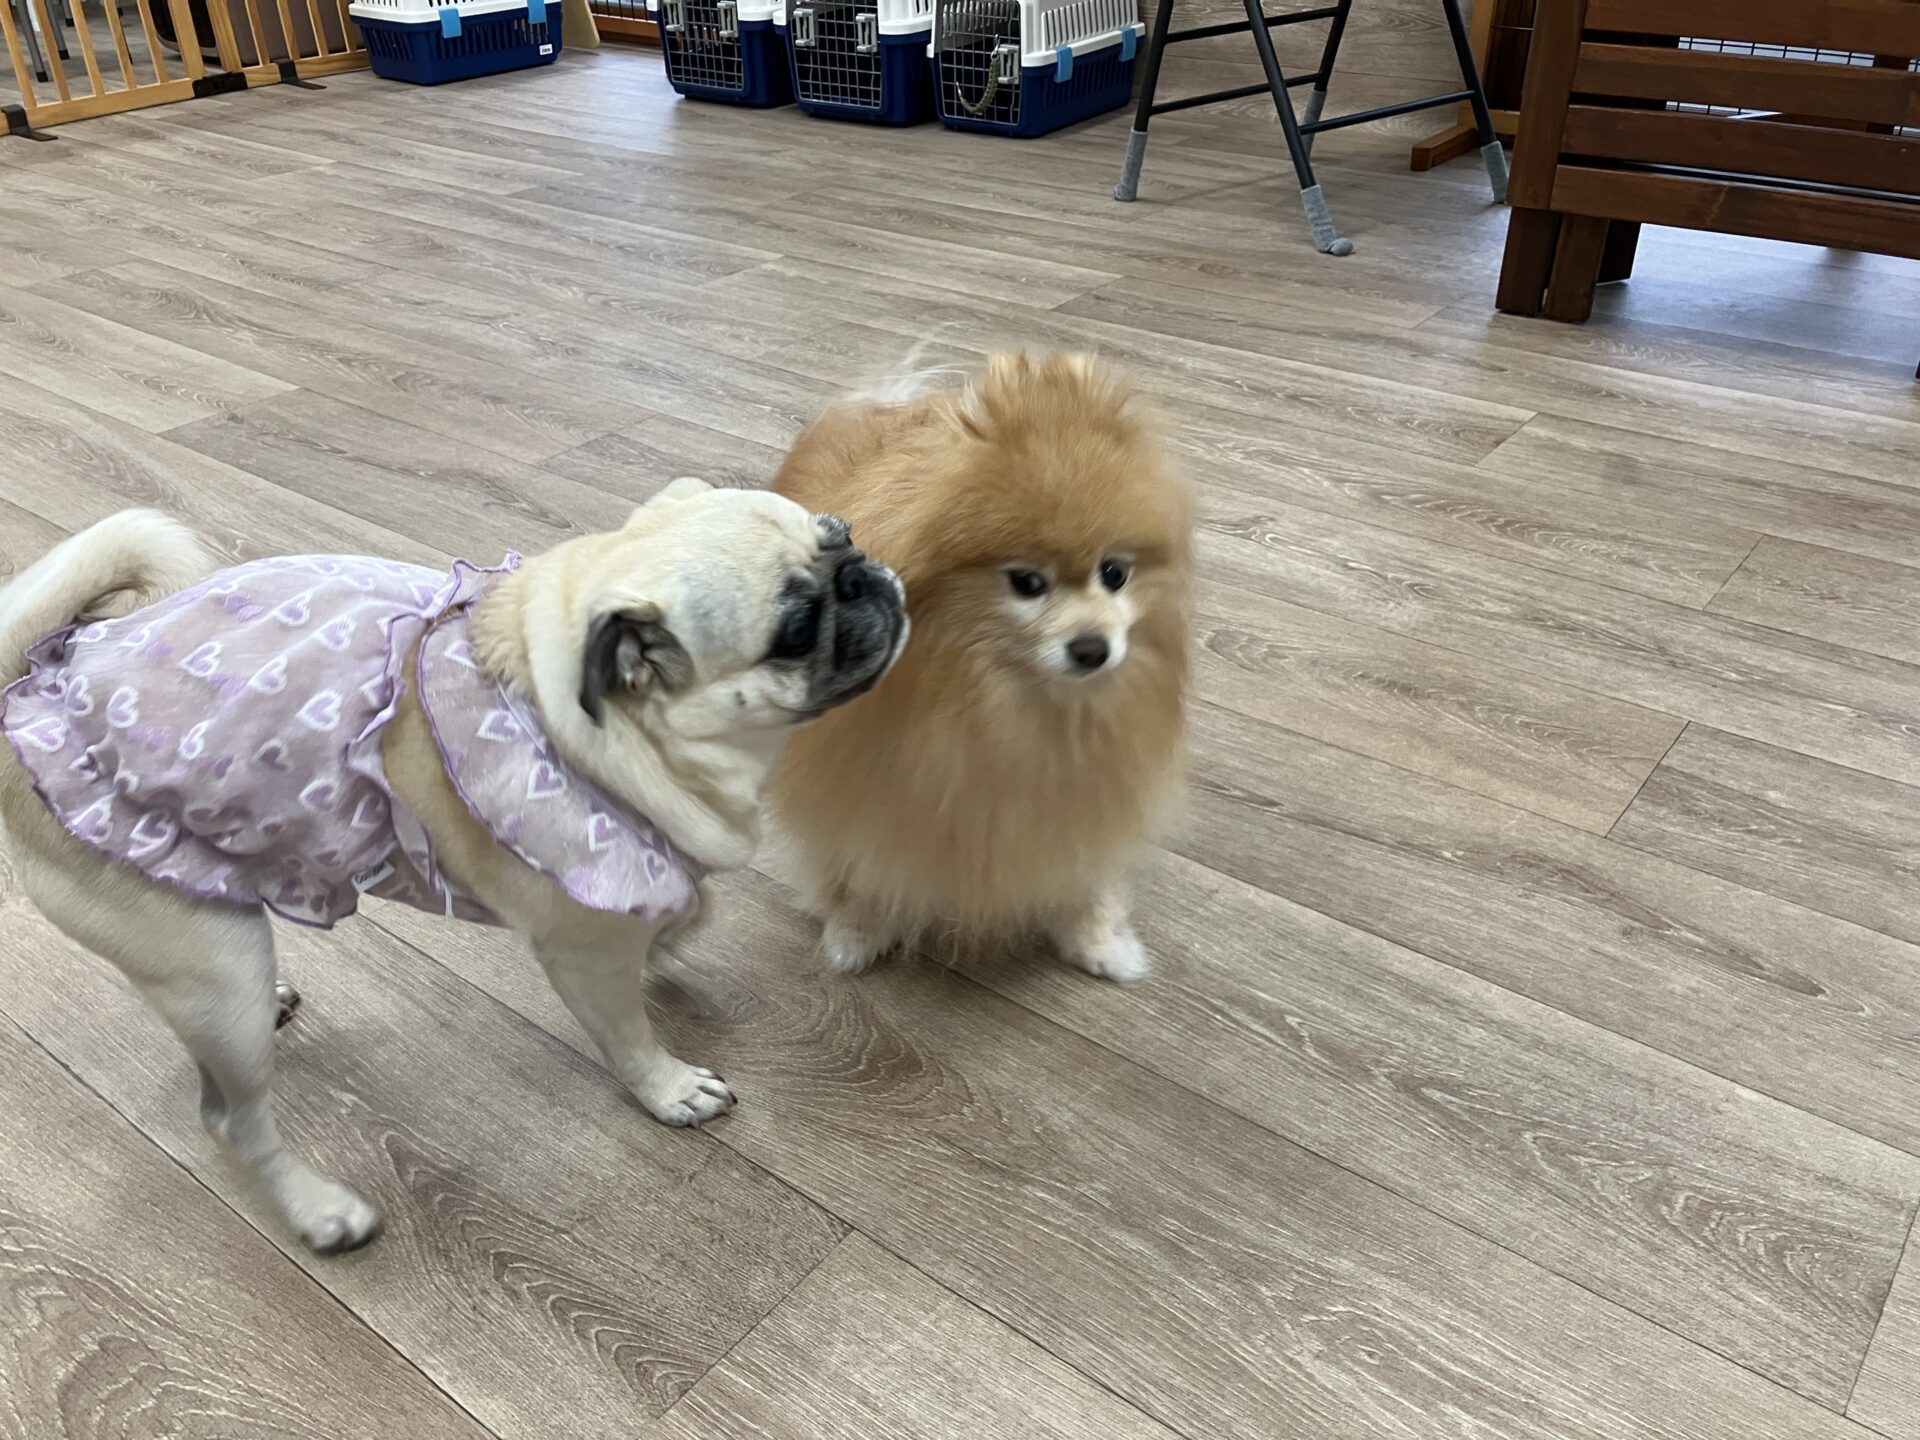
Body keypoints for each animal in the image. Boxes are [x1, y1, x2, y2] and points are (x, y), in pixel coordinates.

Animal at [0, 485, 906, 1252]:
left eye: (844, 535)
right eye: (796, 630)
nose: (868, 576)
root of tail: (29, 692)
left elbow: (686, 907)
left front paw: (674, 938)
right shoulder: (583, 952)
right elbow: (628, 1033)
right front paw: (670, 1087)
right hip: (218, 973)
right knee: (232, 1120)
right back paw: (319, 1211)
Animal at [769, 352, 1190, 983]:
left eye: (1114, 573)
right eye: (1027, 583)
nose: (1093, 648)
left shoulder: (1086, 788)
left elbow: (1082, 870)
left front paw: (1099, 940)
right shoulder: (865, 779)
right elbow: (863, 859)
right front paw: (856, 931)